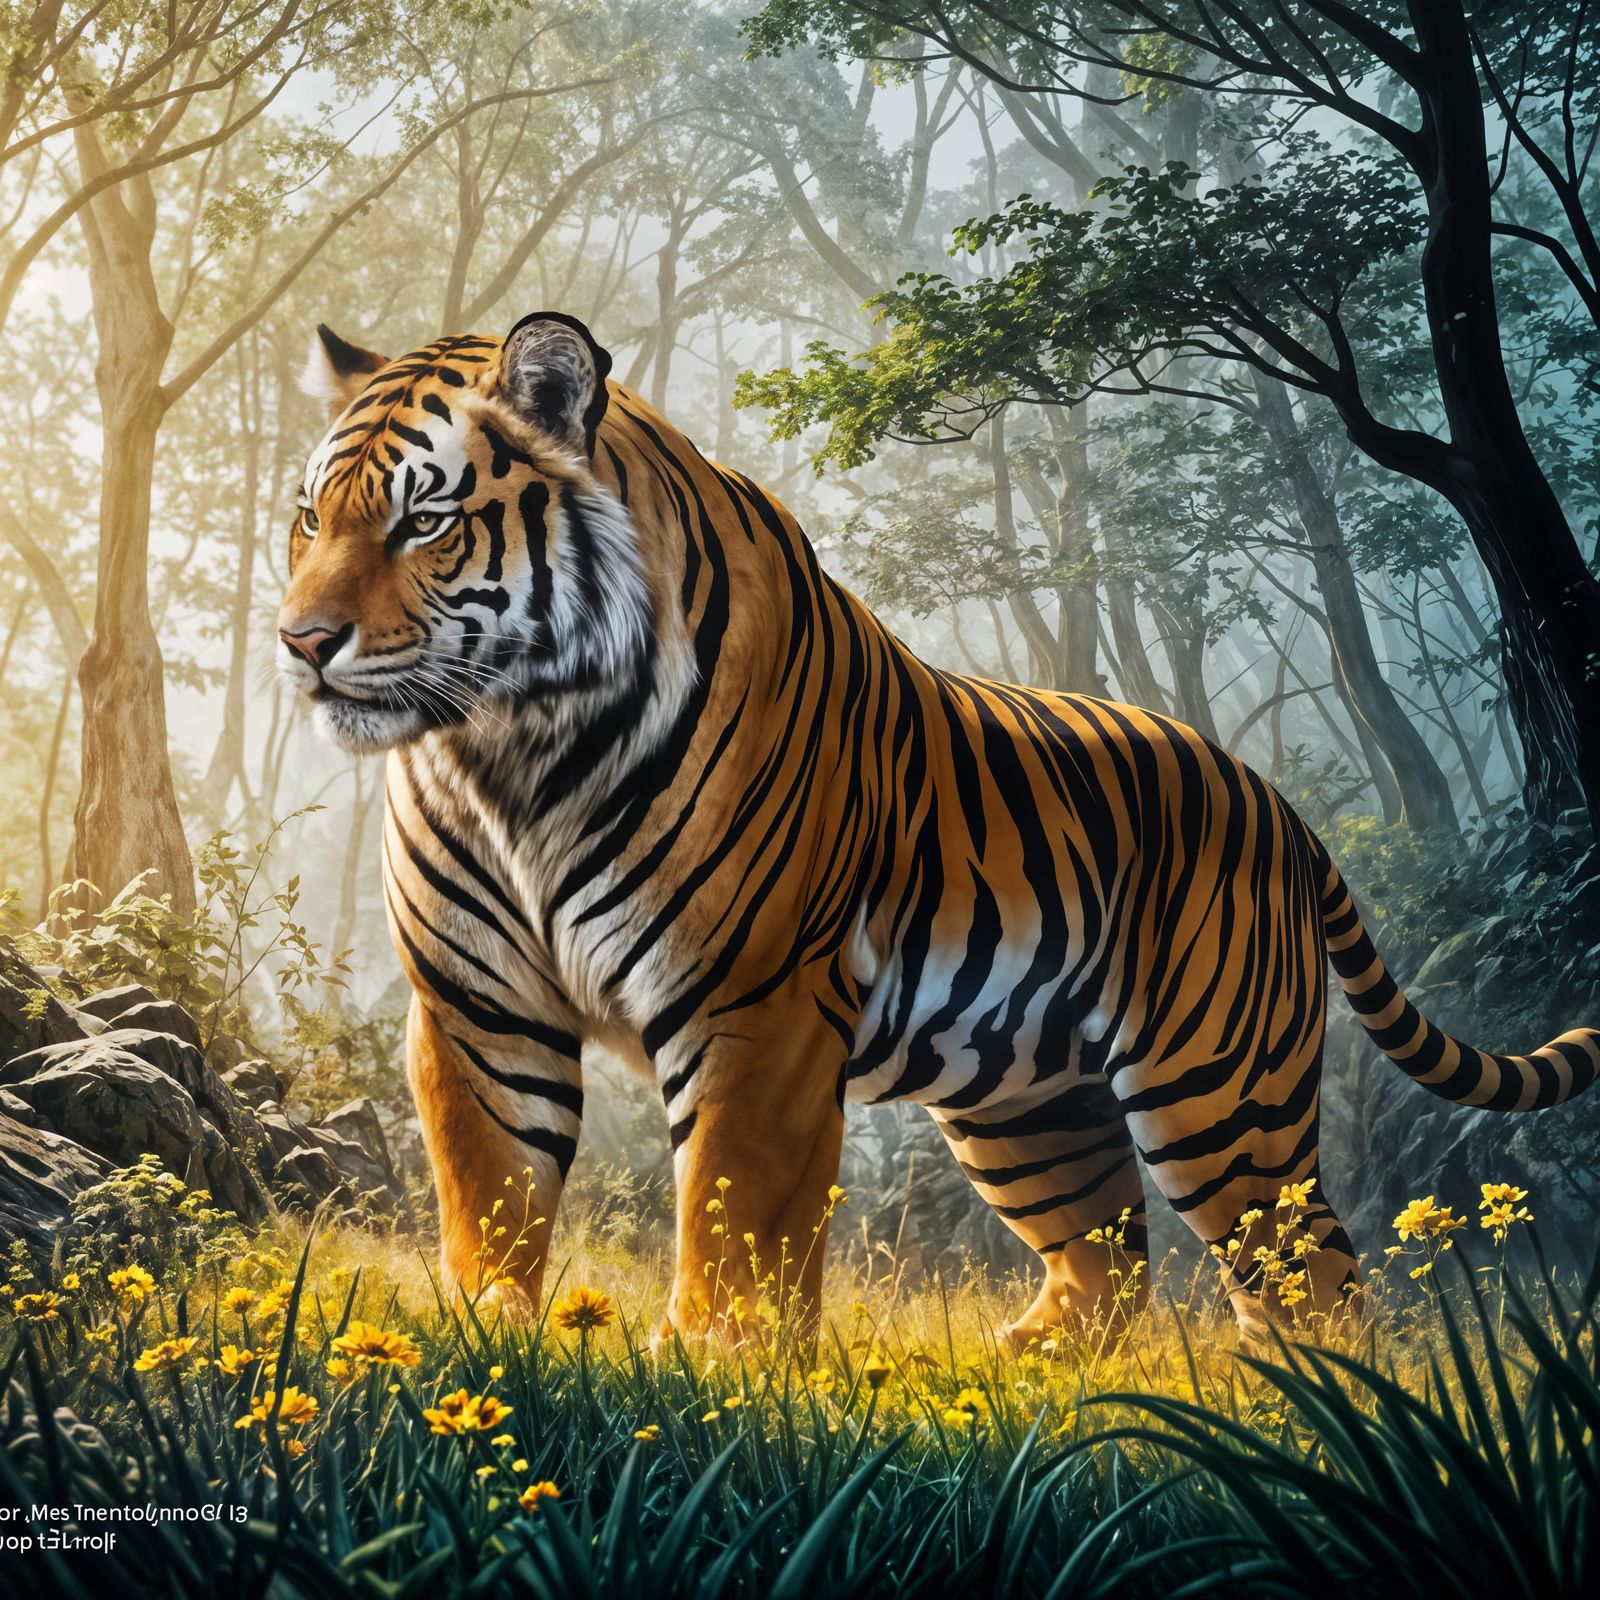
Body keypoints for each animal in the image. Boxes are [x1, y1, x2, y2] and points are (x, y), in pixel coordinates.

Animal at [276, 312, 1599, 1343]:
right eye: (307, 517)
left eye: (423, 522)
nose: (299, 641)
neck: (513, 747)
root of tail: (1280, 805)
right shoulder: (476, 1005)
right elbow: (488, 1195)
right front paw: (489, 1345)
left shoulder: (753, 1002)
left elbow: (733, 1213)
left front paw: (713, 1374)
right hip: (1028, 1104)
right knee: (1105, 1264)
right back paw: (1025, 1383)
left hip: (1220, 1095)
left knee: (1310, 1268)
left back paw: (1305, 1413)